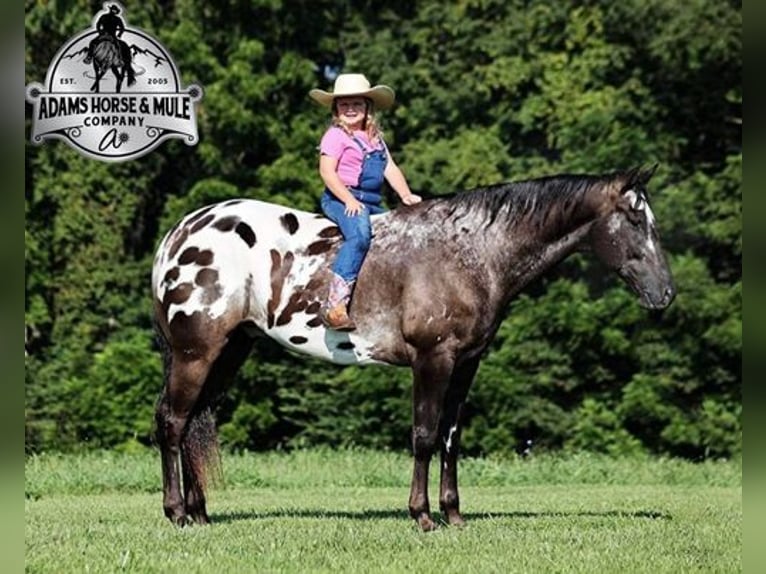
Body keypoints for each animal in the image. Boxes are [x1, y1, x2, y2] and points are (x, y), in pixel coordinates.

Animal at [152, 165, 680, 532]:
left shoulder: (466, 364)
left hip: (229, 352)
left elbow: (450, 438)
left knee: (194, 421)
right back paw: (176, 512)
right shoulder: (433, 359)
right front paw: (422, 516)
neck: (472, 252)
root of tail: (179, 235)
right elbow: (424, 435)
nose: (666, 294)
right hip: (196, 353)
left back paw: (200, 514)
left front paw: (454, 515)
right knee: (174, 423)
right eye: (635, 218)